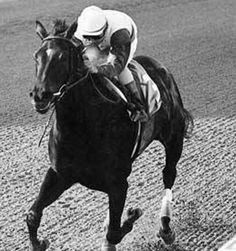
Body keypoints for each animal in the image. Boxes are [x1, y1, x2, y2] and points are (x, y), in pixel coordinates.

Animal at [27, 20, 194, 251]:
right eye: (37, 56)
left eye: (62, 57)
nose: (40, 96)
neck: (80, 129)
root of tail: (161, 68)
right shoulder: (60, 174)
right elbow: (33, 215)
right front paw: (39, 243)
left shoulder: (118, 183)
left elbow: (114, 233)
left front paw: (132, 215)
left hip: (174, 139)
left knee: (169, 175)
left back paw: (166, 228)